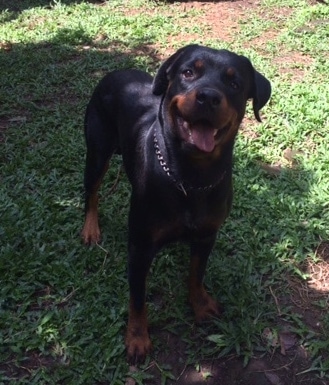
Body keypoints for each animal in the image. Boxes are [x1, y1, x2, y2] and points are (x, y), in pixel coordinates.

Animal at [80, 44, 270, 364]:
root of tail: (115, 73)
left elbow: (196, 274)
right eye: (188, 72)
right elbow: (138, 298)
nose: (208, 96)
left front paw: (200, 305)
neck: (190, 176)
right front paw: (137, 338)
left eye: (234, 83)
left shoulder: (207, 235)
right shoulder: (140, 247)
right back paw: (90, 228)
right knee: (91, 193)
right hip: (97, 152)